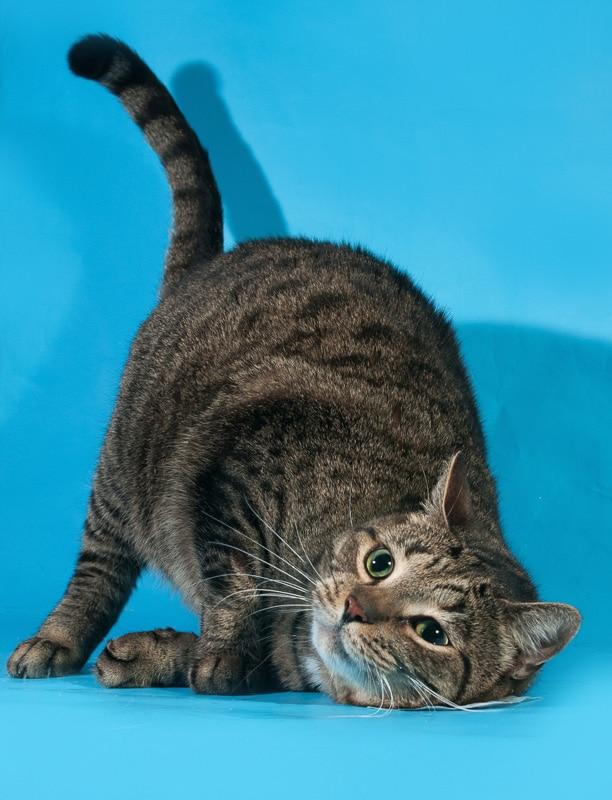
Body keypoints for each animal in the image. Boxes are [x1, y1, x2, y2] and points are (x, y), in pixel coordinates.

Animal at [7, 36, 580, 708]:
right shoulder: (235, 470)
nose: (354, 606)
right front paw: (217, 651)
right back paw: (58, 638)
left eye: (431, 632)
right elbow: (233, 584)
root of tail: (211, 264)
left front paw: (166, 653)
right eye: (379, 563)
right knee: (98, 568)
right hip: (126, 469)